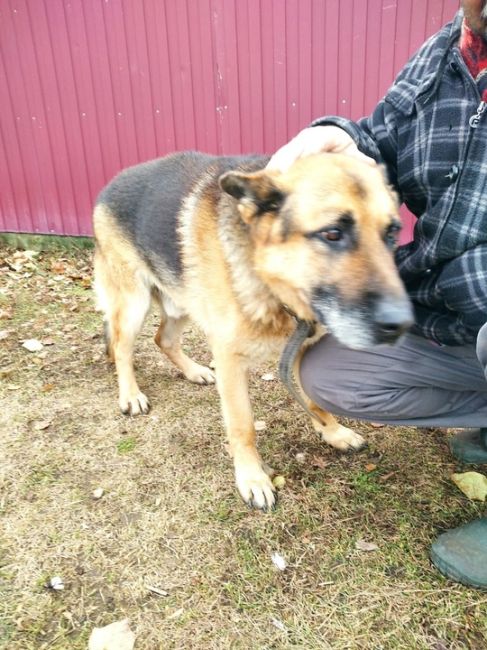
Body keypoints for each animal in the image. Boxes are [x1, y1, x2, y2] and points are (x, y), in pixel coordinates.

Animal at [92, 153, 412, 512]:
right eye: (332, 233)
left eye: (392, 232)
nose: (401, 324)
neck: (270, 284)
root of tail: (110, 185)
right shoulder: (230, 360)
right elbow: (242, 426)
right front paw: (253, 479)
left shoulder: (301, 348)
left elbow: (313, 401)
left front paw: (333, 432)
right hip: (135, 302)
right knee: (122, 347)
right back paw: (131, 394)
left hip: (183, 301)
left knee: (164, 339)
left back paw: (194, 372)